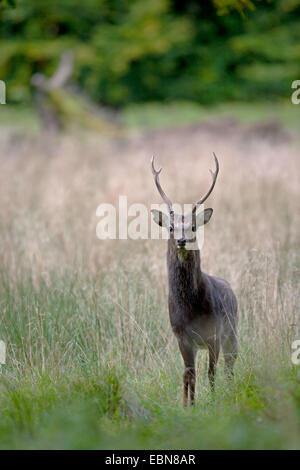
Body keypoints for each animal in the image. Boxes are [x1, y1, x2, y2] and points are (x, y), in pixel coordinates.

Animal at [151, 155, 238, 408]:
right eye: (171, 227)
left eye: (192, 226)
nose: (181, 240)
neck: (191, 309)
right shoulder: (181, 336)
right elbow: (188, 374)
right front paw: (188, 406)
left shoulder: (214, 332)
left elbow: (211, 373)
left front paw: (214, 401)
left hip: (233, 331)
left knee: (230, 366)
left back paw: (230, 391)